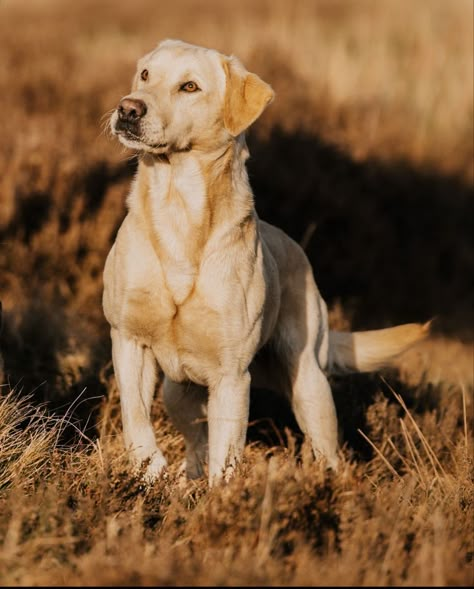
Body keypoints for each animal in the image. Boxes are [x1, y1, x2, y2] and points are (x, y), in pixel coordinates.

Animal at [104, 40, 430, 482]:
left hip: (308, 382)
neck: (178, 210)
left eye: (190, 86)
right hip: (178, 392)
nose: (128, 108)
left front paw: (220, 496)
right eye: (145, 75)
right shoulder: (128, 340)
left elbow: (225, 457)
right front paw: (149, 469)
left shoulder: (230, 376)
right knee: (196, 442)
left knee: (325, 447)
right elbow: (135, 415)